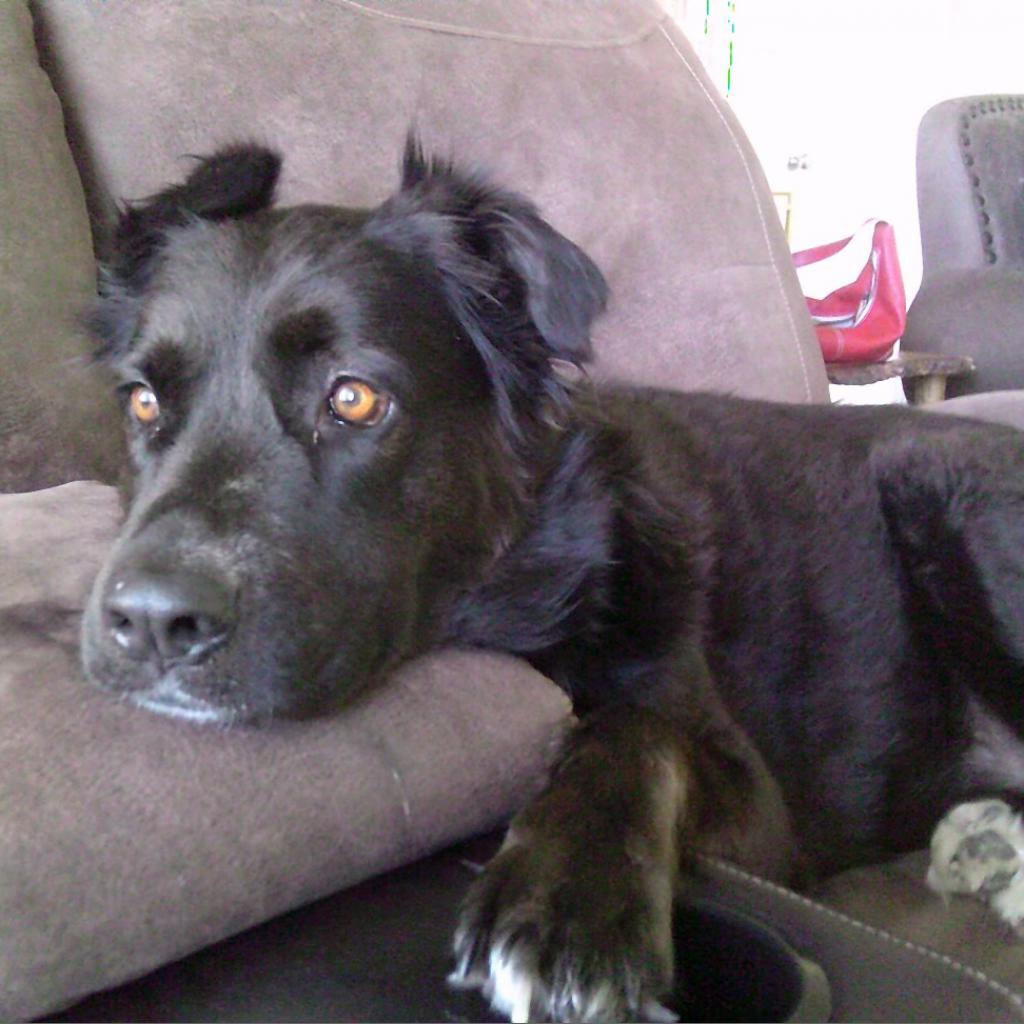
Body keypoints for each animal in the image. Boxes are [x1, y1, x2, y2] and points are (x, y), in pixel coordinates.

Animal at [81, 140, 1024, 1019]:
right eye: (142, 402)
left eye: (352, 399)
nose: (153, 622)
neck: (532, 584)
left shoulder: (765, 818)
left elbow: (634, 727)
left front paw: (569, 900)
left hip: (938, 485)